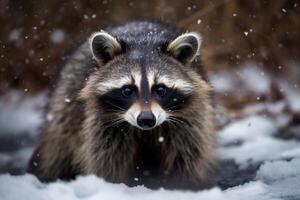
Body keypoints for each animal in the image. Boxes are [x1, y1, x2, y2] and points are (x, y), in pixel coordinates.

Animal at [29, 20, 217, 189]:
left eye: (160, 89)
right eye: (127, 90)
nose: (146, 119)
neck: (144, 41)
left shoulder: (189, 120)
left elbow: (187, 155)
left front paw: (182, 185)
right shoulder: (102, 124)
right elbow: (106, 159)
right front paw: (112, 184)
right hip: (63, 107)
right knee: (59, 151)